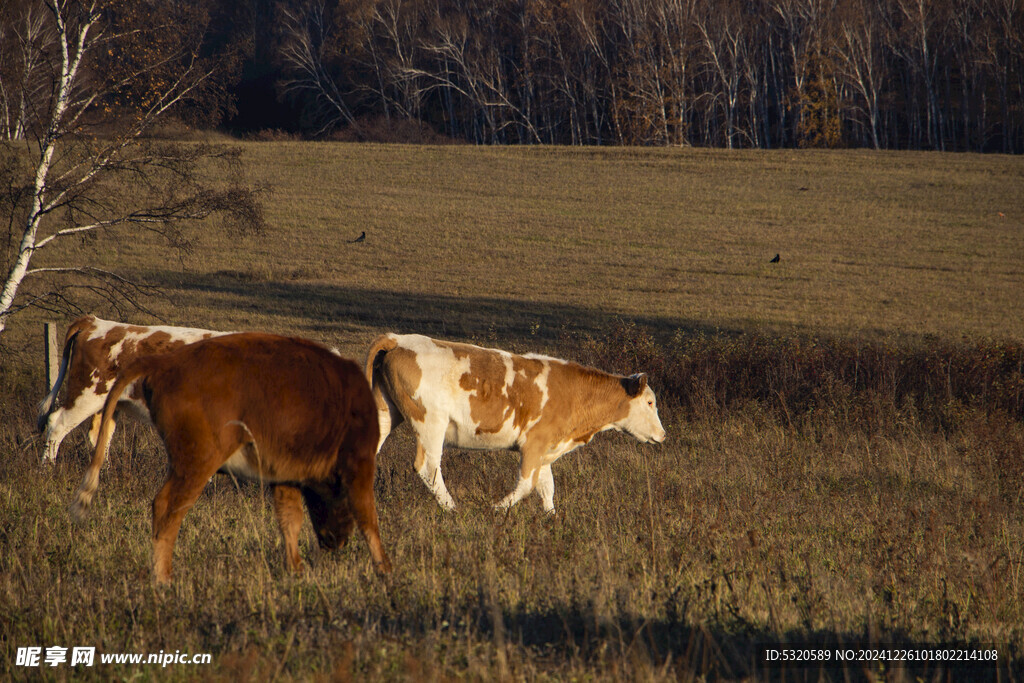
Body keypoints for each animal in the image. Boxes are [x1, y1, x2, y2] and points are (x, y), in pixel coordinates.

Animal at [71, 331, 391, 581]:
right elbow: (369, 518)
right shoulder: (359, 462)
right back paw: (164, 579)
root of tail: (163, 363)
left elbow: (290, 521)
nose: (335, 542)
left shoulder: (284, 477)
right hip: (197, 464)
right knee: (167, 508)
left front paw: (296, 570)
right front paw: (384, 570)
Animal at [364, 331, 667, 511]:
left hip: (385, 412)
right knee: (429, 468)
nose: (663, 435)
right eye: (650, 403)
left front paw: (552, 522)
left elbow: (546, 488)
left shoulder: (546, 450)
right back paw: (453, 510)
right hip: (431, 422)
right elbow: (526, 485)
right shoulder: (535, 443)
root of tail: (398, 339)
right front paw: (496, 510)